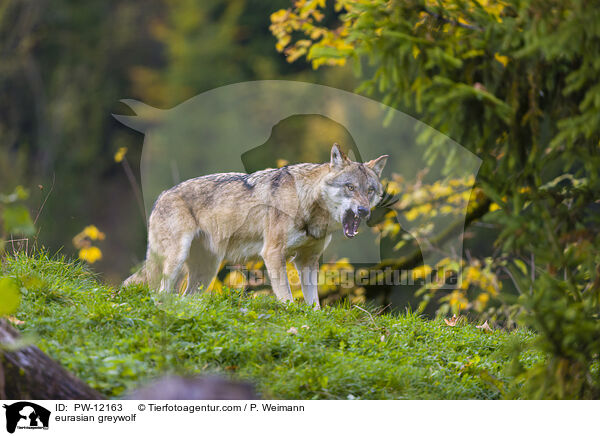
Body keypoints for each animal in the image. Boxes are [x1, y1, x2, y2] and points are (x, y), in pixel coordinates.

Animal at [125, 145, 390, 308]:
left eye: (370, 190)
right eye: (350, 187)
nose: (364, 211)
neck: (306, 202)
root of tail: (161, 196)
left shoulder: (308, 261)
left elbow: (314, 303)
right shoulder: (272, 253)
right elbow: (287, 297)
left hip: (205, 272)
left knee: (185, 297)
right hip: (176, 261)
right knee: (160, 292)